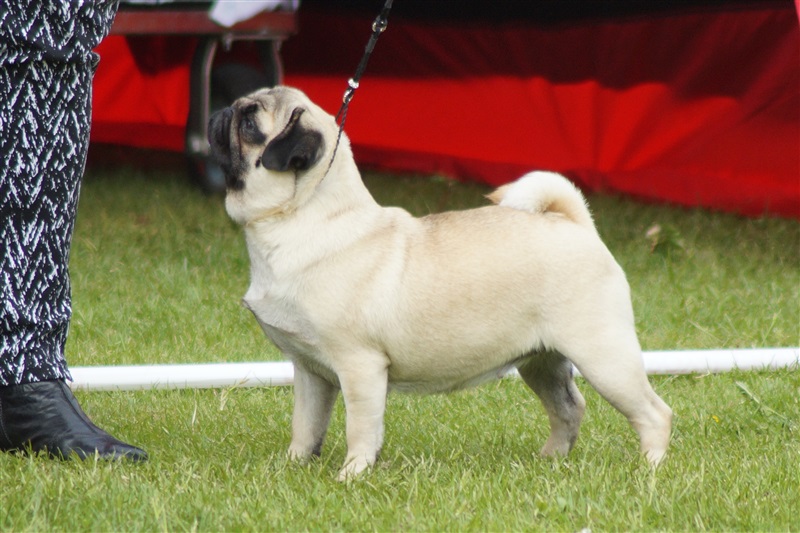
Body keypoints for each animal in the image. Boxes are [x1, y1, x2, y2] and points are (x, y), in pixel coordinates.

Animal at [208, 86, 672, 481]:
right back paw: (550, 461)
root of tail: (575, 224)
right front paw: (293, 466)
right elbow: (305, 427)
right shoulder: (310, 372)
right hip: (543, 362)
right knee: (569, 409)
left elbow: (361, 428)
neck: (301, 219)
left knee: (653, 413)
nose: (222, 112)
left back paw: (649, 469)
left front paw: (353, 474)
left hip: (603, 356)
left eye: (249, 123)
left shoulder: (360, 367)